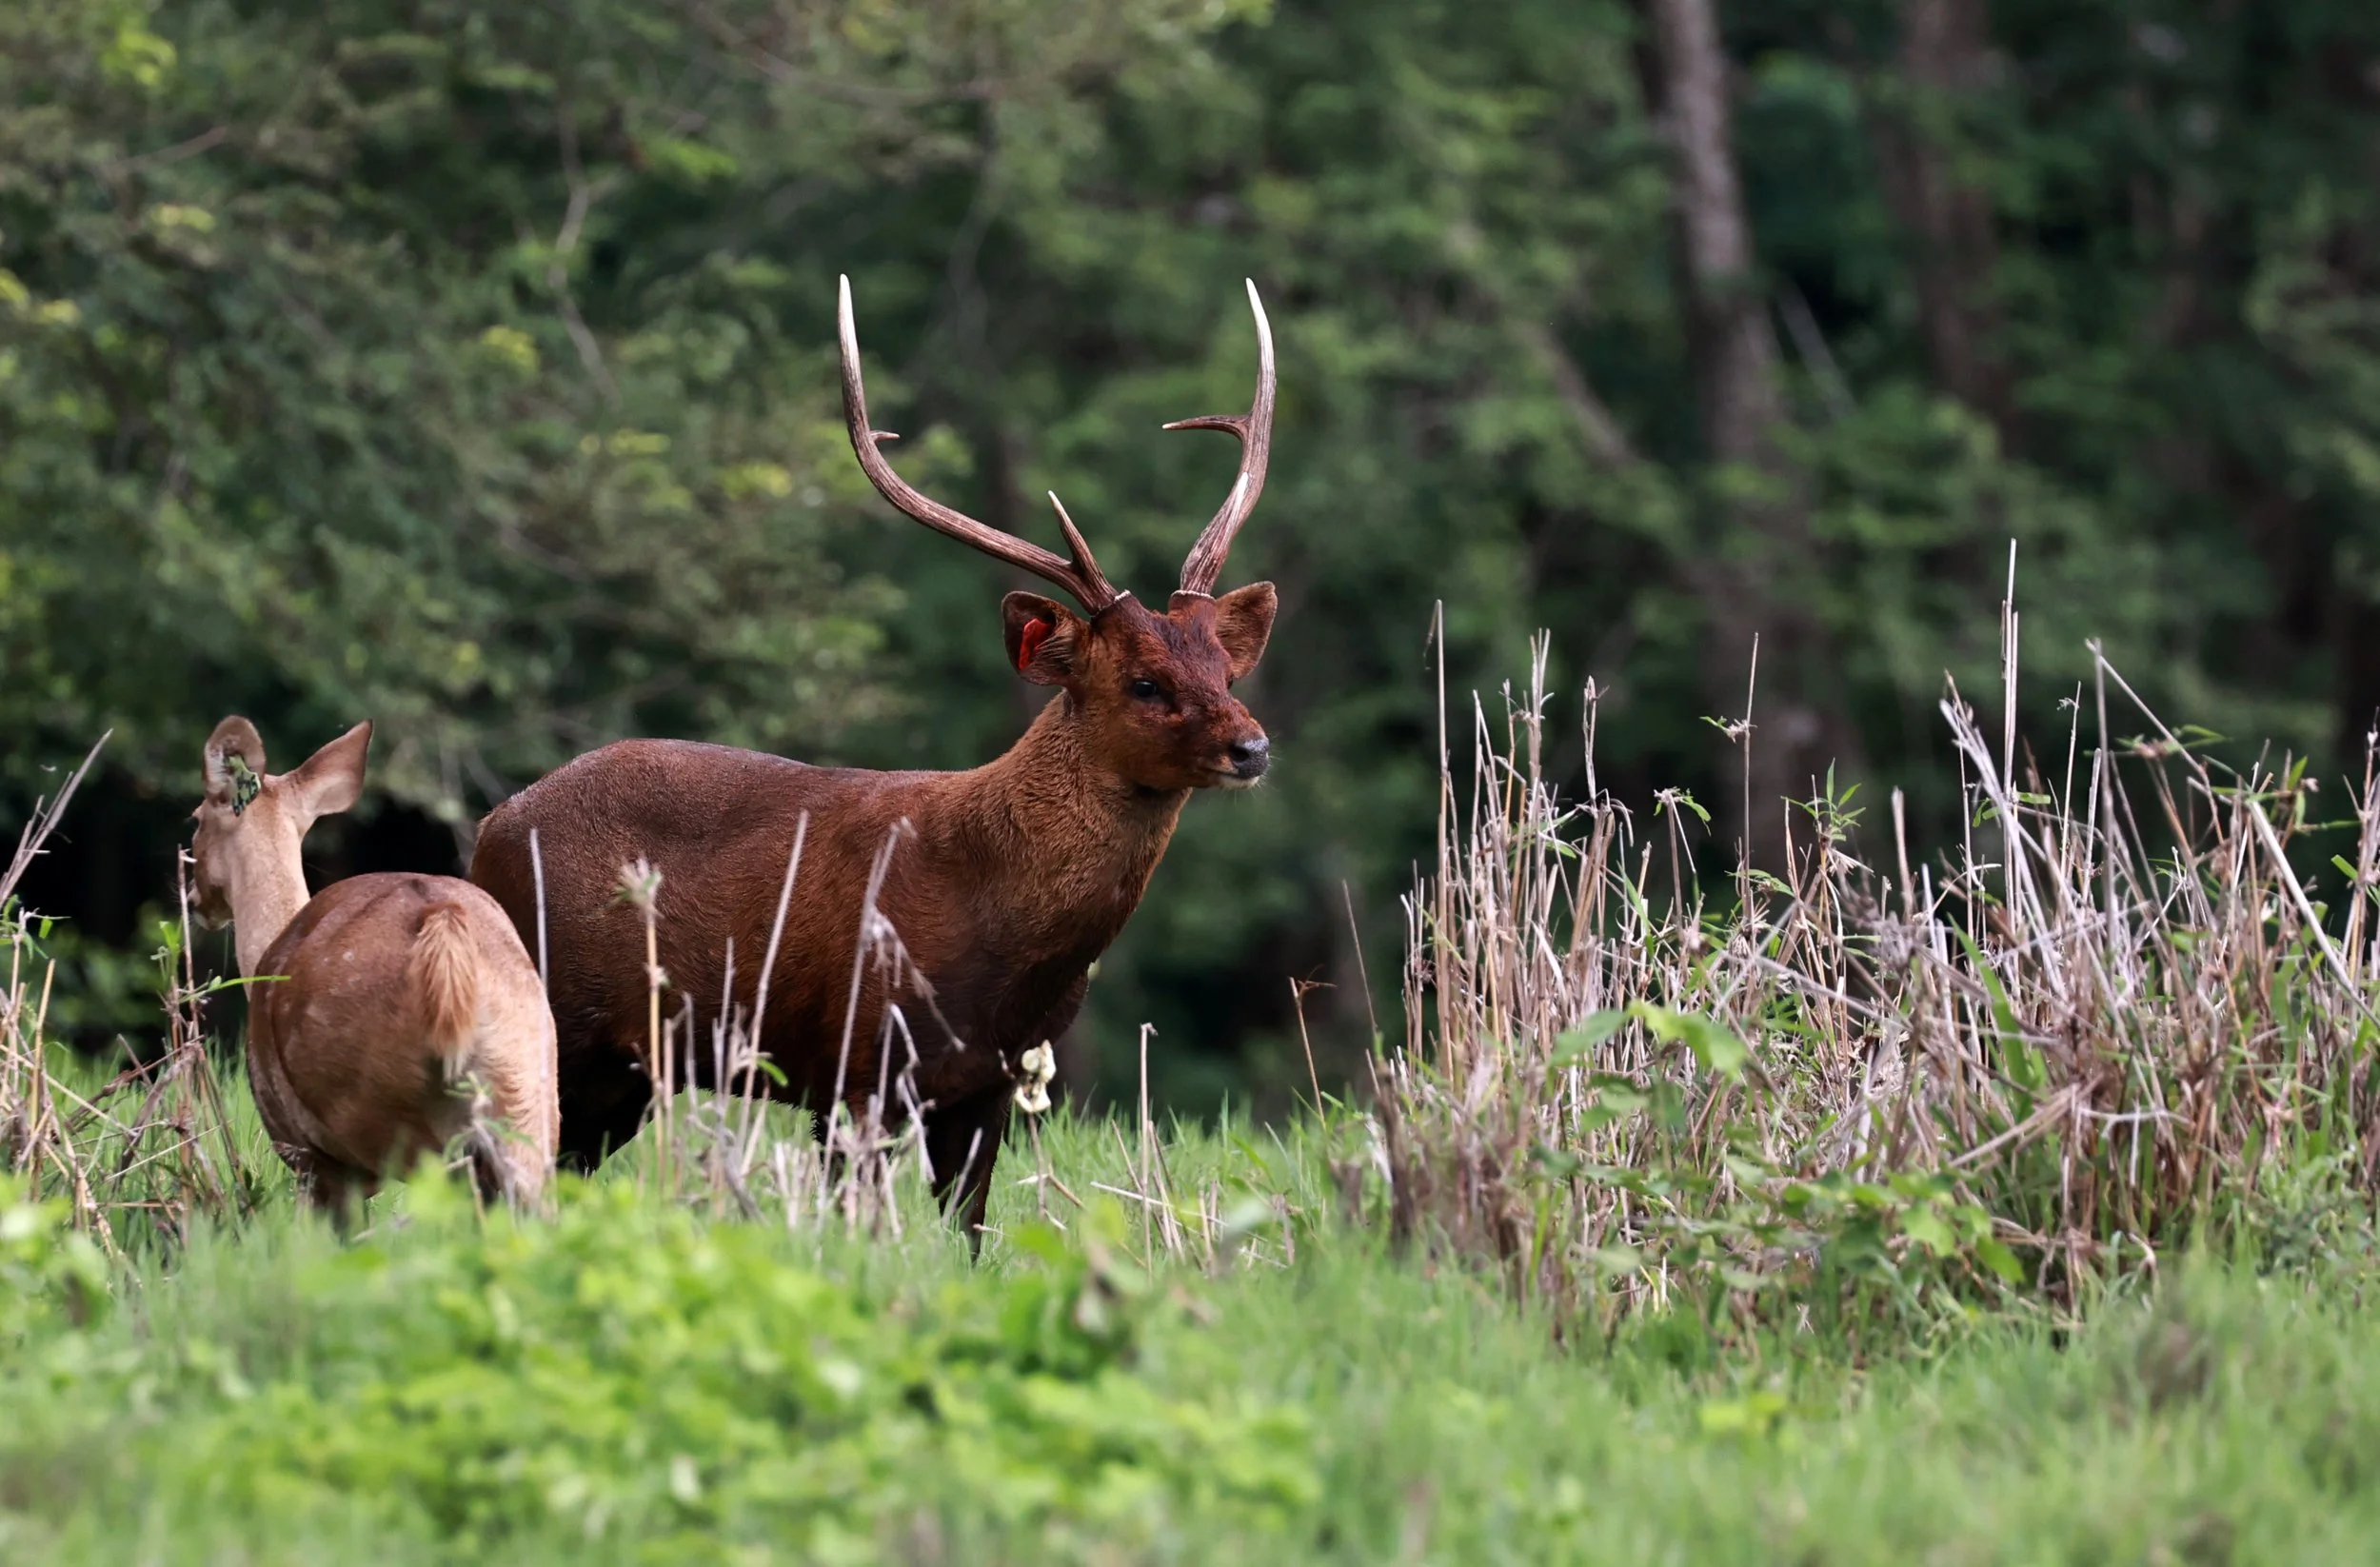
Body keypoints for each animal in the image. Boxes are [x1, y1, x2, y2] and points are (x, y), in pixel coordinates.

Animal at [191, 717, 558, 1214]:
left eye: (195, 819)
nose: (194, 898)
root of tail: (445, 925)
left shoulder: (304, 1148)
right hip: (528, 1093)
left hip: (379, 1109)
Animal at [467, 274, 1280, 1245]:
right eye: (1145, 680)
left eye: (1225, 668)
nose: (1252, 745)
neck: (996, 929)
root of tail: (485, 831)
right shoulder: (853, 1059)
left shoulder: (993, 1085)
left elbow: (969, 1233)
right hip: (555, 1021)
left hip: (623, 1069)